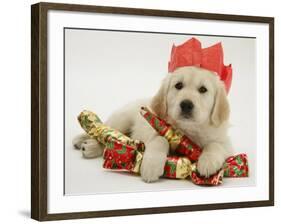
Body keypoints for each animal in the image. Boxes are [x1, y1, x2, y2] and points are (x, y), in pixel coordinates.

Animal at [72, 65, 232, 183]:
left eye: (203, 89)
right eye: (178, 85)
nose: (186, 104)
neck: (187, 129)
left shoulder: (226, 143)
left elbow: (216, 145)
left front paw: (208, 162)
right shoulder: (154, 130)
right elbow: (160, 140)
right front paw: (151, 166)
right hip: (123, 118)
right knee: (105, 132)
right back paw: (87, 144)